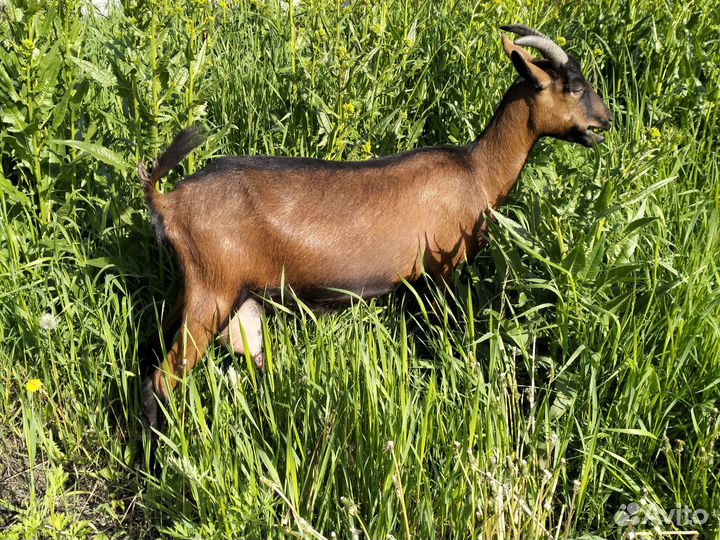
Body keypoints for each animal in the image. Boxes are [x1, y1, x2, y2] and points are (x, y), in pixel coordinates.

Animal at [138, 25, 612, 428]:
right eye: (574, 87)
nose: (604, 123)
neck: (476, 170)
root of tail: (168, 200)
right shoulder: (440, 271)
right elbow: (440, 337)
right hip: (213, 293)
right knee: (163, 379)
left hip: (214, 295)